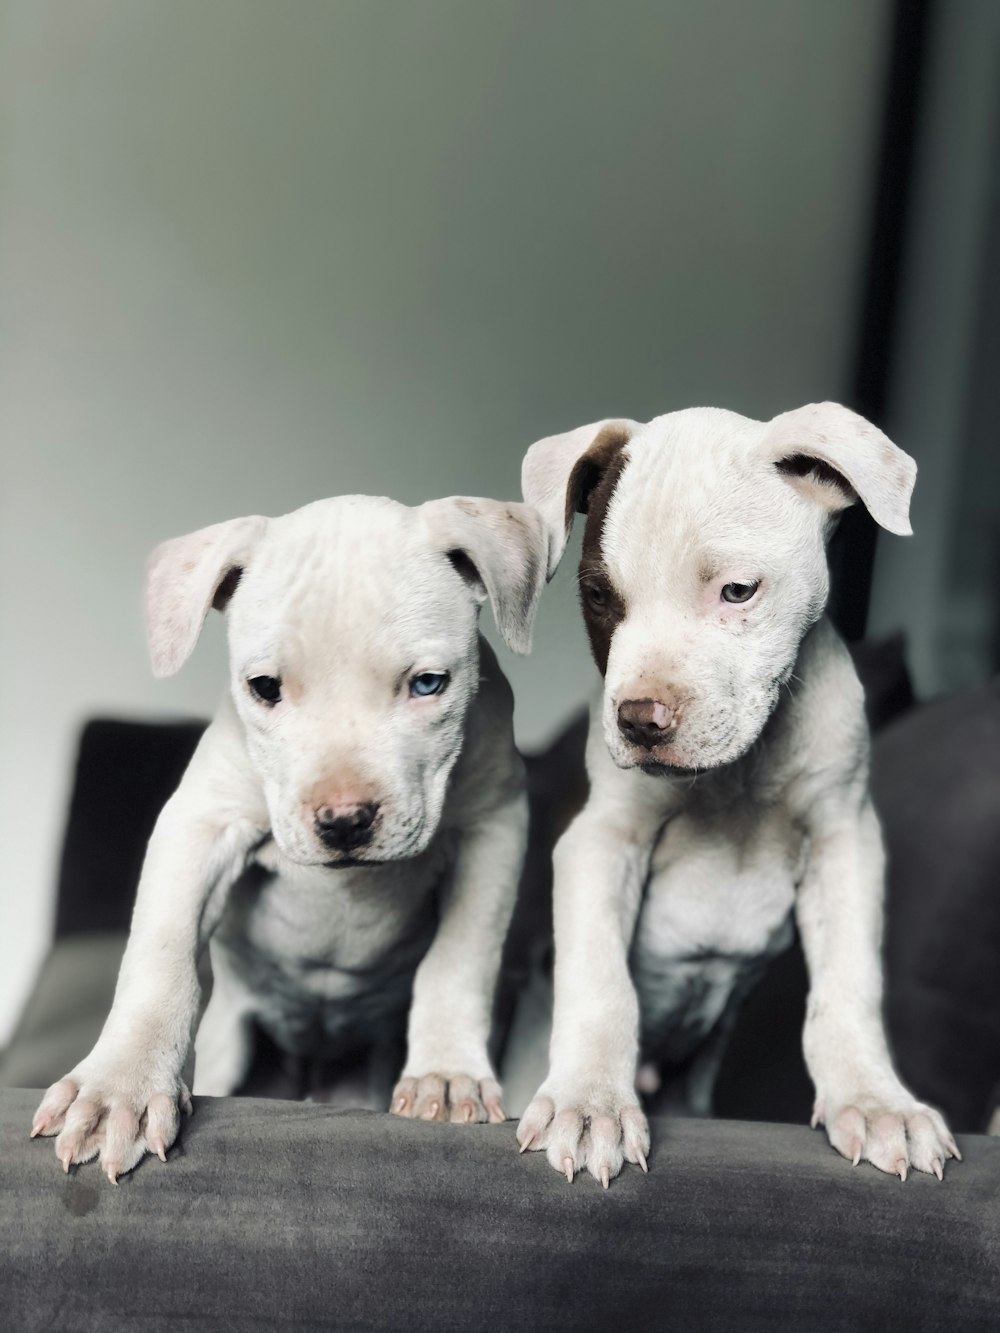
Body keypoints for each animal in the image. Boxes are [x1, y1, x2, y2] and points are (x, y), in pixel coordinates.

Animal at [29, 495, 549, 1183]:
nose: (345, 819)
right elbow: (161, 954)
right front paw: (120, 1088)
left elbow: (460, 959)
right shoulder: (200, 823)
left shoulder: (495, 827)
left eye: (429, 684)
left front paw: (445, 1074)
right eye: (265, 688)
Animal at [517, 399, 965, 1183]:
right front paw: (590, 1103)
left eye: (737, 591)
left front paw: (875, 1102)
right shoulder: (601, 840)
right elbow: (601, 981)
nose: (639, 720)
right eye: (599, 596)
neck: (737, 777)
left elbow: (849, 985)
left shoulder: (845, 840)